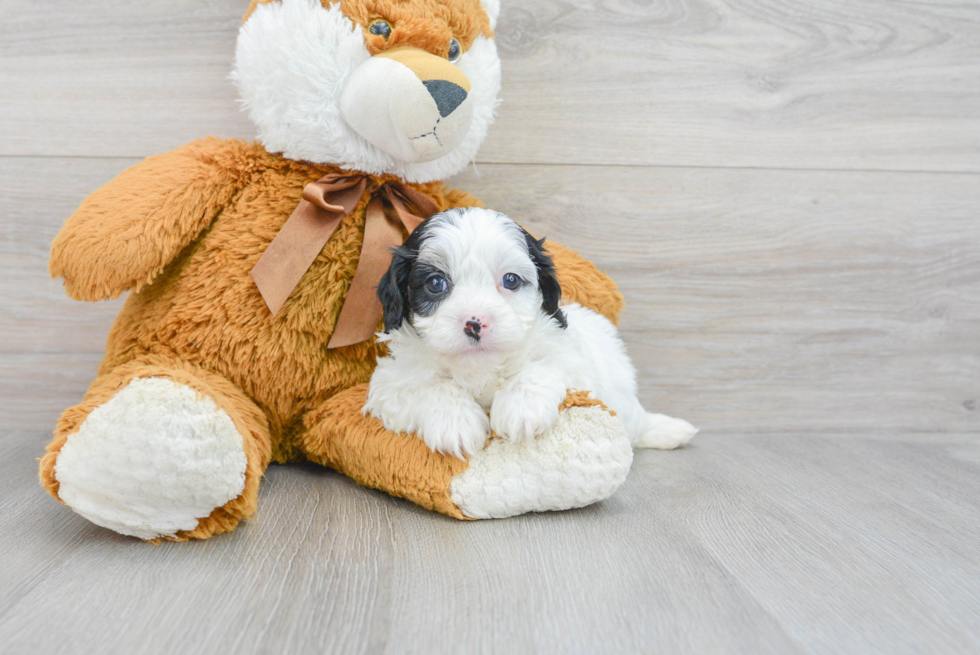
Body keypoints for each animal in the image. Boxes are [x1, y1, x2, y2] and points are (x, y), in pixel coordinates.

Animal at [362, 208, 696, 458]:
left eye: (510, 280)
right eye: (435, 283)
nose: (475, 322)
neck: (480, 368)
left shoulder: (572, 359)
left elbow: (541, 367)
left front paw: (521, 410)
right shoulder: (392, 382)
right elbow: (431, 385)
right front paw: (454, 422)